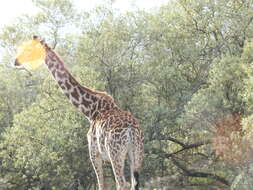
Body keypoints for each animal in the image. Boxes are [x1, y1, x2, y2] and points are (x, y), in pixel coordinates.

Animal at [14, 36, 144, 189]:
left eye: (29, 49)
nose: (16, 61)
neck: (90, 109)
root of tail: (131, 130)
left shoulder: (94, 153)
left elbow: (101, 184)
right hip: (136, 154)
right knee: (134, 182)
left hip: (115, 153)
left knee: (122, 183)